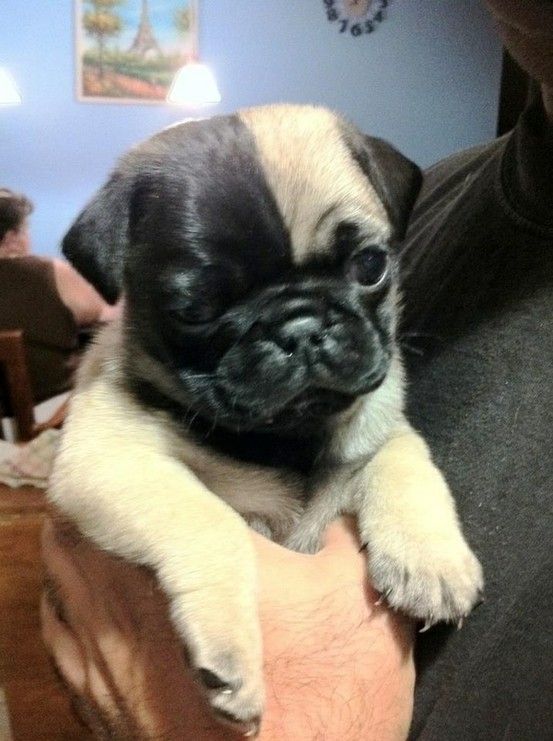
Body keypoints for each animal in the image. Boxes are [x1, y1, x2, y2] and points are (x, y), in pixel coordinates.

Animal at [50, 104, 484, 736]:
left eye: (370, 266)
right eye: (195, 310)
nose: (299, 327)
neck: (284, 441)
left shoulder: (377, 428)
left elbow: (403, 456)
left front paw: (430, 557)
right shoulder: (108, 459)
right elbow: (212, 522)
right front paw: (231, 655)